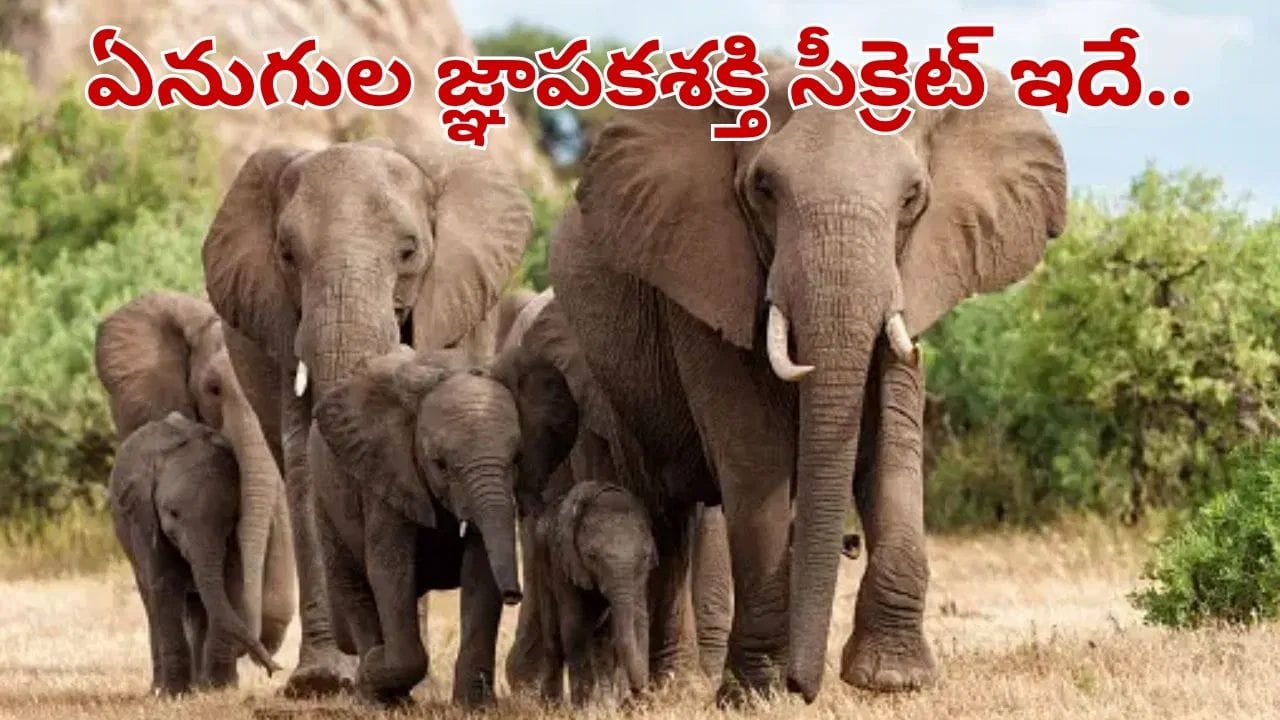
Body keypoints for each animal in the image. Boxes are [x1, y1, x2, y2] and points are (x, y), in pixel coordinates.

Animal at [108, 412, 283, 695]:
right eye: (173, 513)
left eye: (230, 517)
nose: (274, 669)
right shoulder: (143, 516)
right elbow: (165, 584)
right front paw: (174, 695)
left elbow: (229, 582)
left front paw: (220, 689)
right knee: (151, 601)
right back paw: (160, 689)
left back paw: (201, 686)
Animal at [200, 137, 532, 695]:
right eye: (287, 254)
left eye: (409, 251)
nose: (356, 653)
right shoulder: (282, 325)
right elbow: (304, 459)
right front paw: (323, 680)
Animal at [310, 344, 578, 705]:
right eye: (440, 464)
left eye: (517, 459)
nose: (513, 595)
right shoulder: (387, 476)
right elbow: (390, 571)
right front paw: (373, 672)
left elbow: (480, 573)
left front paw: (475, 706)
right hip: (325, 497)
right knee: (354, 586)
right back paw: (377, 691)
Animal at [533, 479, 657, 706]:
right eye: (592, 556)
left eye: (645, 556)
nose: (640, 693)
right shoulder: (563, 562)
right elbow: (573, 627)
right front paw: (583, 708)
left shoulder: (641, 577)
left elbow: (638, 621)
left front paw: (619, 705)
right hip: (540, 560)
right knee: (554, 637)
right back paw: (550, 706)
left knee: (602, 642)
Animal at [548, 62, 1068, 703]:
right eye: (764, 190)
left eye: (913, 197)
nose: (807, 685)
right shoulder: (702, 274)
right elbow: (754, 455)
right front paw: (756, 694)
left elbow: (892, 444)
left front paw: (890, 680)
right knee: (656, 513)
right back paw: (651, 690)